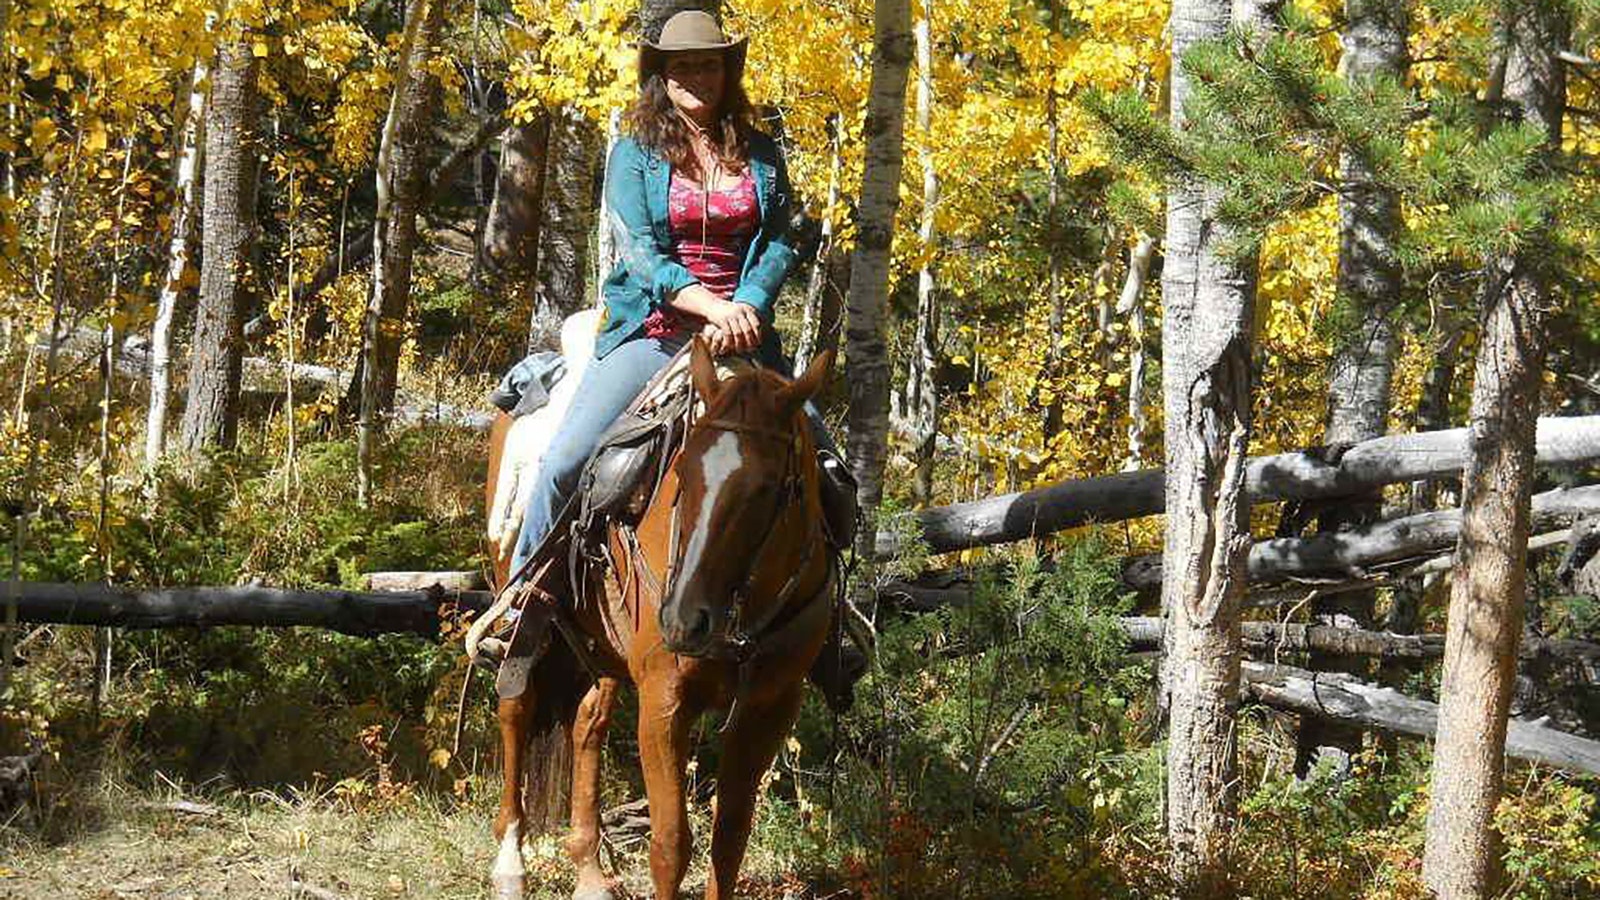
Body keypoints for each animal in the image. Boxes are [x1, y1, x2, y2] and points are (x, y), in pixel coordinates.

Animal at [473, 337, 838, 896]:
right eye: (681, 473)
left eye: (768, 487)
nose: (684, 620)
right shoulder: (664, 698)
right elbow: (670, 845)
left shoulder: (771, 704)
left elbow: (730, 836)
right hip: (522, 607)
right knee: (516, 705)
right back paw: (510, 861)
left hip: (602, 643)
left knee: (588, 723)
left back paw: (589, 869)